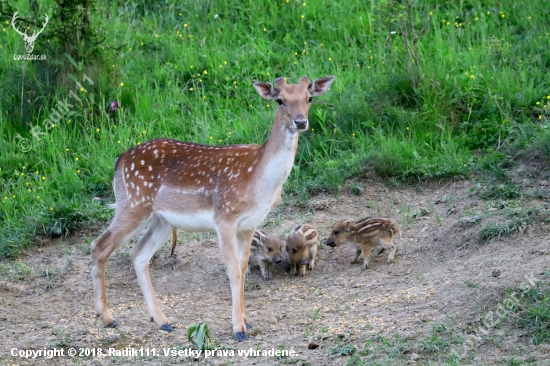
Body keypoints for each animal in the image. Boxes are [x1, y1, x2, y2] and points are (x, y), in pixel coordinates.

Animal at [89, 76, 336, 342]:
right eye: (280, 100)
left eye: (309, 98)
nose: (300, 122)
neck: (259, 180)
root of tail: (119, 160)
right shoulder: (224, 218)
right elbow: (234, 271)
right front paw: (238, 329)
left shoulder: (249, 224)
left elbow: (242, 268)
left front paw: (247, 322)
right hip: (133, 204)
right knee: (99, 246)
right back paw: (108, 318)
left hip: (161, 221)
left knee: (138, 254)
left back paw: (162, 321)